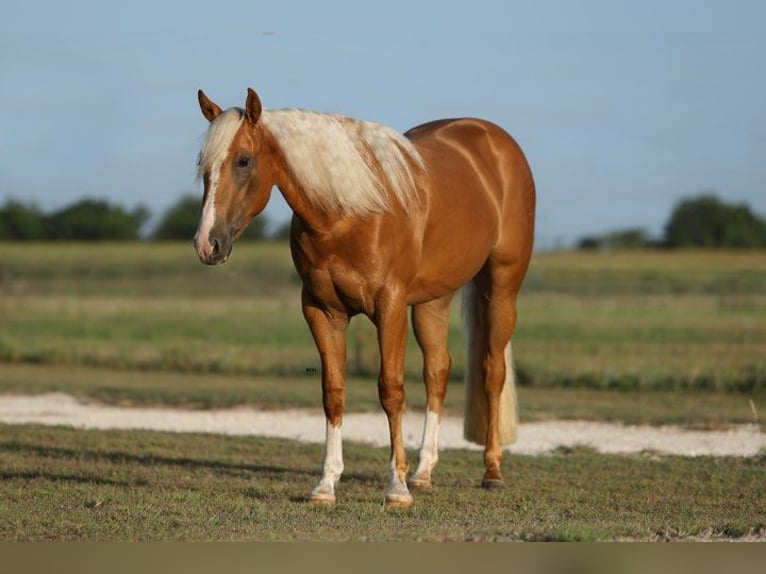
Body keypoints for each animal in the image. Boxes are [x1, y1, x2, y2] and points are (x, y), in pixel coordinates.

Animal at [194, 88, 535, 507]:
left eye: (243, 160)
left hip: (501, 288)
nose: (206, 243)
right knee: (438, 371)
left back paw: (491, 471)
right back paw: (423, 472)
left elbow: (391, 390)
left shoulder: (390, 307)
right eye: (203, 165)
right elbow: (333, 391)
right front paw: (326, 484)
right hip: (433, 299)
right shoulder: (322, 310)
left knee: (492, 371)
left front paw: (396, 488)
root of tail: (496, 142)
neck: (347, 213)